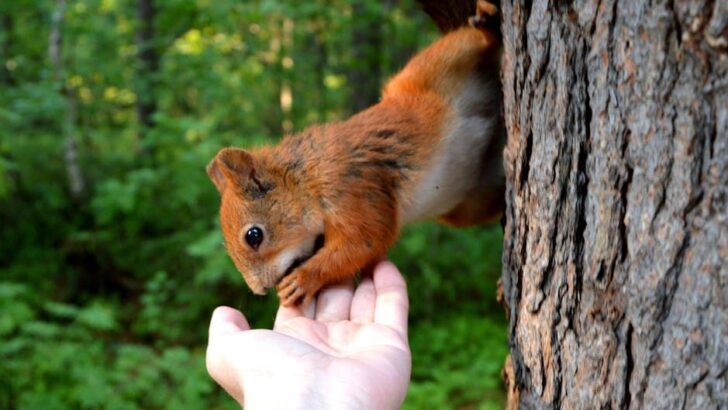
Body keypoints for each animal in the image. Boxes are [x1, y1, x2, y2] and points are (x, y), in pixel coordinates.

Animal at [207, 0, 504, 307]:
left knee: (471, 41)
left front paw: (303, 279)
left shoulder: (349, 186)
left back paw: (486, 23)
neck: (306, 177)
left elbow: (366, 239)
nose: (259, 290)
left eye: (254, 235)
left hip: (436, 65)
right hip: (469, 203)